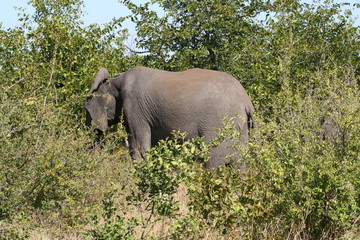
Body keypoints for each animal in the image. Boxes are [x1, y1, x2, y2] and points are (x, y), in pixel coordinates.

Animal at [84, 66, 255, 169]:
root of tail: (245, 100)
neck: (115, 80)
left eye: (86, 110)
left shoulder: (134, 107)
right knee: (240, 161)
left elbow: (138, 149)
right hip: (240, 125)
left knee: (214, 159)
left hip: (218, 121)